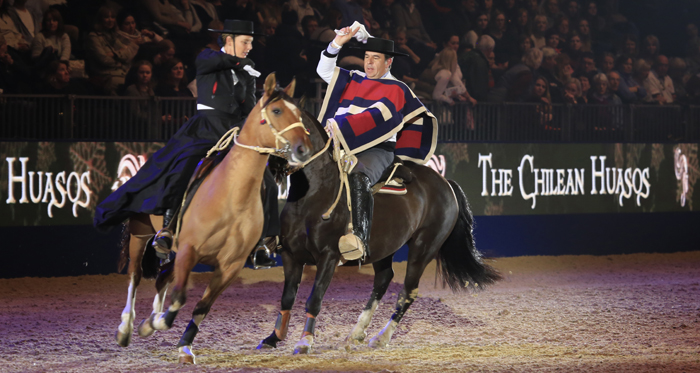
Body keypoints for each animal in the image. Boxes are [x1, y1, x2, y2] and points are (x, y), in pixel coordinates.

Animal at [114, 73, 312, 364]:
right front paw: (156, 324)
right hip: (140, 231)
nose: (302, 149)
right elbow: (179, 298)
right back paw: (126, 327)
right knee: (135, 276)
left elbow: (201, 306)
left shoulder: (229, 266)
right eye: (276, 111)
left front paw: (181, 344)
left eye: (298, 113)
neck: (232, 197)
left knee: (162, 276)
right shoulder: (188, 250)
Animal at [258, 110, 504, 352]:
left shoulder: (328, 257)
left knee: (407, 291)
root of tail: (445, 183)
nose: (274, 164)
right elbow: (287, 298)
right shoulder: (290, 255)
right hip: (384, 248)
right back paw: (356, 332)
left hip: (423, 248)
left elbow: (314, 297)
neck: (314, 195)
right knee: (383, 280)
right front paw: (273, 337)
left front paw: (305, 341)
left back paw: (381, 337)